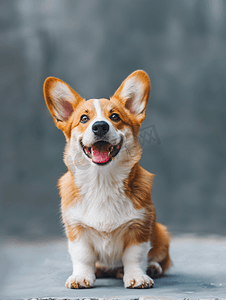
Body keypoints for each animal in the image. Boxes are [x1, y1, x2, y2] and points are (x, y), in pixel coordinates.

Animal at [43, 69, 171, 288]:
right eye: (84, 118)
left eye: (115, 116)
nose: (100, 126)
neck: (102, 181)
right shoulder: (76, 228)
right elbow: (83, 256)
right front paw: (81, 276)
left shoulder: (140, 226)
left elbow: (134, 256)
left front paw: (137, 276)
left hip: (161, 233)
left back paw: (152, 267)